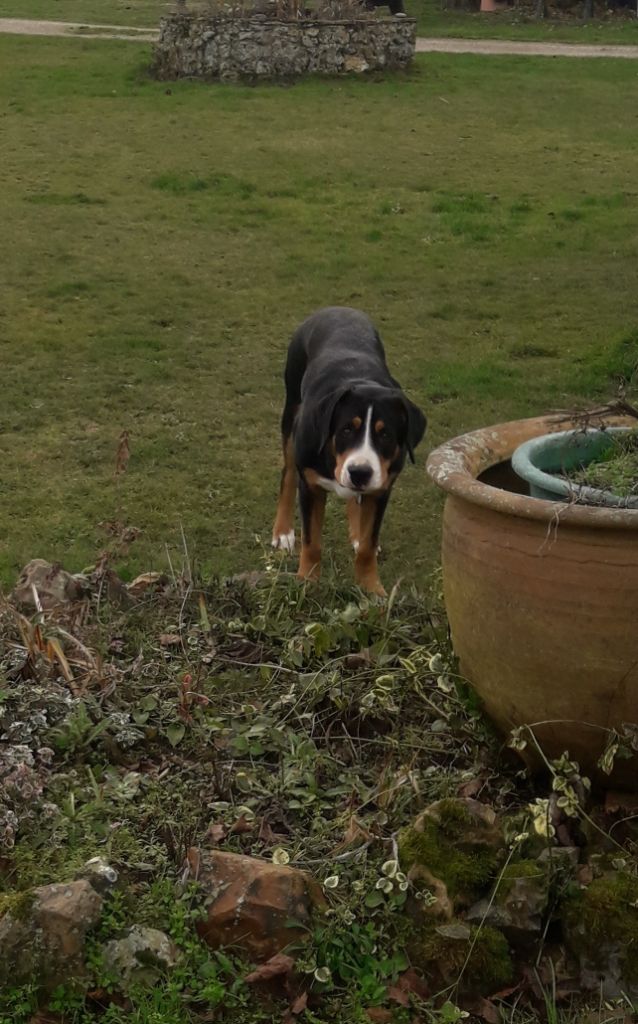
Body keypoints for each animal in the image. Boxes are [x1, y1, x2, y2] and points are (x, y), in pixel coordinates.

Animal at [272, 305, 426, 593]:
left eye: (385, 434)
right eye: (346, 429)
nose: (360, 472)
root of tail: (336, 308)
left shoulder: (382, 489)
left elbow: (367, 546)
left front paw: (372, 589)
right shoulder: (310, 485)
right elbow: (312, 543)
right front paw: (307, 583)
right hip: (291, 410)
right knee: (287, 475)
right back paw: (282, 531)